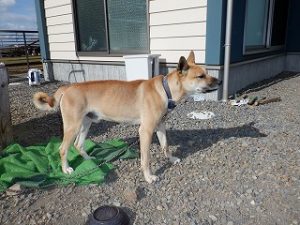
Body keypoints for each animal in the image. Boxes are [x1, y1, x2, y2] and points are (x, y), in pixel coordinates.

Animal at [33, 51, 220, 183]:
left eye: (207, 72)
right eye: (200, 76)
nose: (219, 81)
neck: (165, 90)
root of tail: (68, 88)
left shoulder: (160, 126)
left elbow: (165, 146)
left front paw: (171, 158)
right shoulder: (145, 131)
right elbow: (146, 159)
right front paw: (149, 177)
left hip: (86, 123)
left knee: (78, 145)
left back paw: (90, 161)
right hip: (73, 126)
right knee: (63, 149)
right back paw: (66, 169)